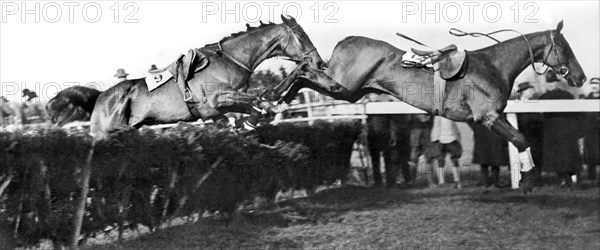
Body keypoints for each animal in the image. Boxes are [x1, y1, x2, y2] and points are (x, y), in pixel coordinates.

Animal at [87, 16, 326, 139]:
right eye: (301, 35)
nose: (319, 63)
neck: (231, 60)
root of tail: (99, 97)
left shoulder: (224, 104)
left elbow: (263, 97)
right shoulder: (215, 100)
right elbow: (260, 99)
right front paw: (256, 117)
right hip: (105, 134)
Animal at [270, 21, 584, 193]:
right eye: (565, 47)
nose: (580, 77)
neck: (493, 66)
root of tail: (346, 40)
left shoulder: (496, 116)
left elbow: (520, 138)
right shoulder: (488, 117)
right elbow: (520, 139)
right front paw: (528, 180)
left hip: (352, 92)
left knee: (304, 74)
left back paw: (275, 103)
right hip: (342, 85)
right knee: (303, 70)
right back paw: (270, 97)